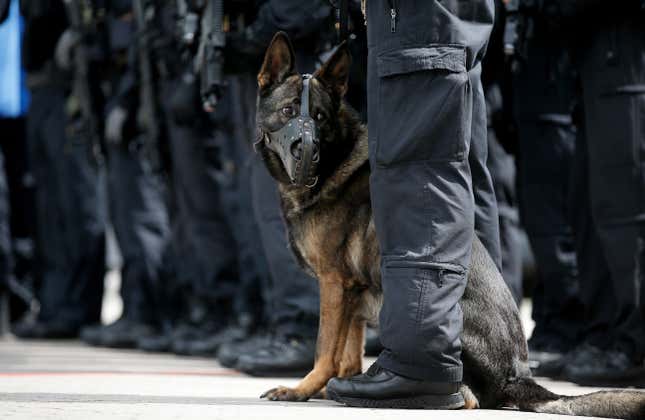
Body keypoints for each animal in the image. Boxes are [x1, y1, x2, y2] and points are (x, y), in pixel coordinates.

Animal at [254, 32, 640, 416]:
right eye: (288, 111)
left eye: (319, 117)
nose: (306, 151)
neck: (336, 161)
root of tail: (517, 376)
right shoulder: (353, 290)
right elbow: (347, 350)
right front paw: (334, 384)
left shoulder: (334, 283)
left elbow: (324, 347)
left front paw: (301, 389)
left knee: (466, 396)